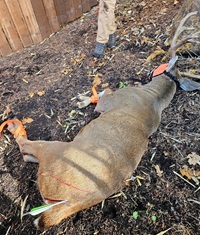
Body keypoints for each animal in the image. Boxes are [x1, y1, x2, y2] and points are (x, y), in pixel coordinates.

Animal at [0, 11, 199, 230]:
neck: (152, 97)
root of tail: (71, 201)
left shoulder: (111, 100)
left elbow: (104, 92)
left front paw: (81, 100)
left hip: (53, 152)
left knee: (26, 147)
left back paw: (13, 126)